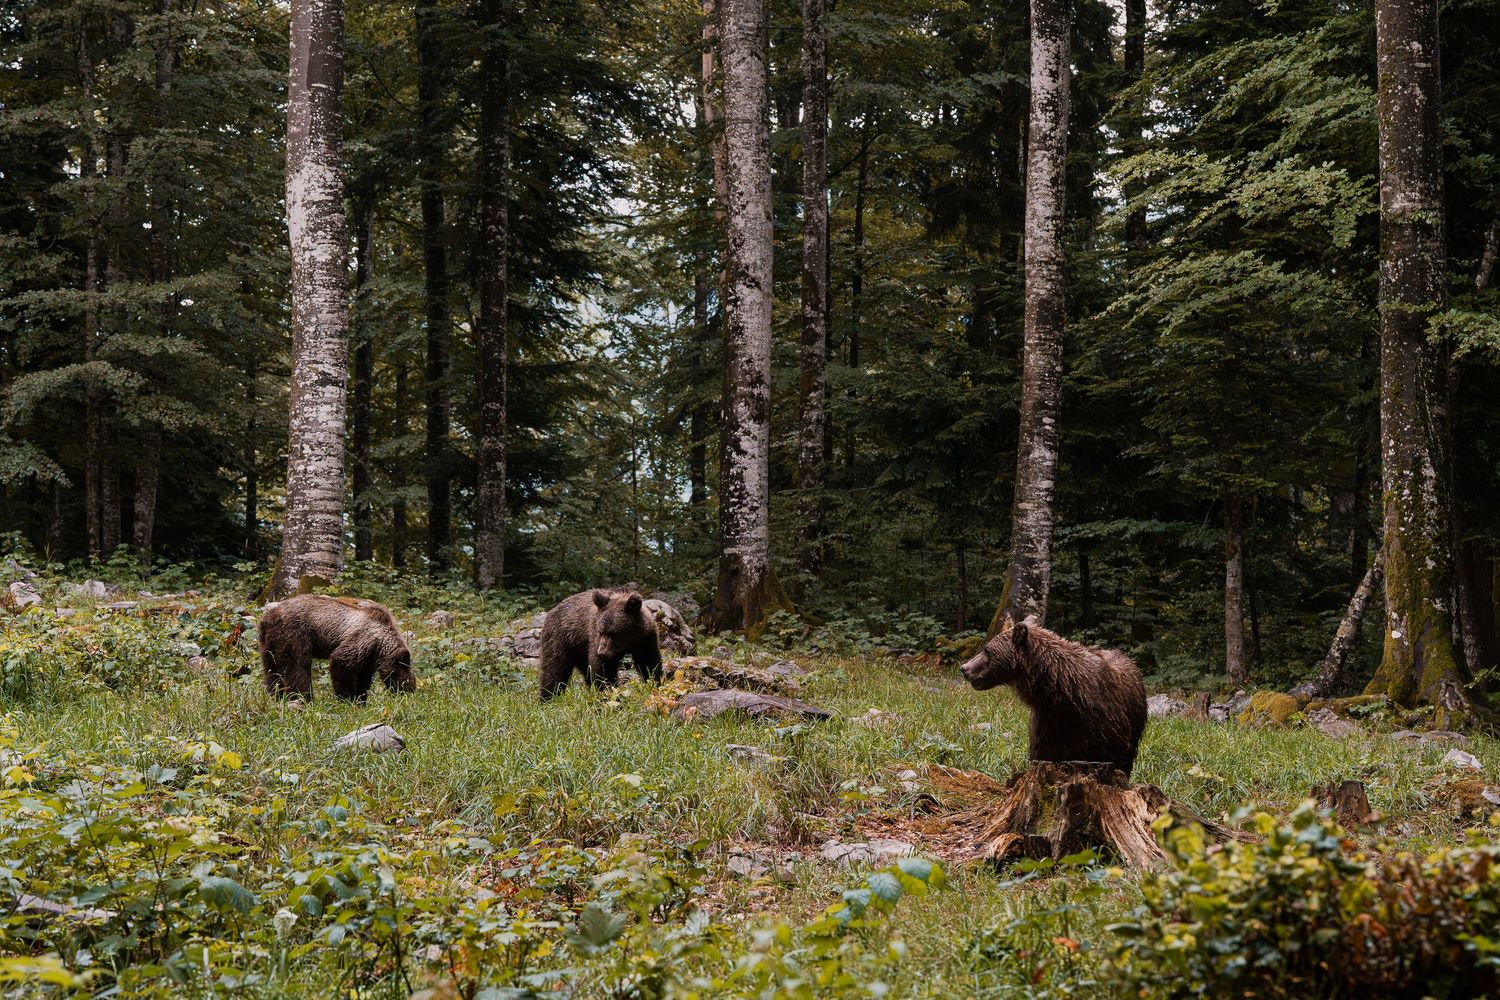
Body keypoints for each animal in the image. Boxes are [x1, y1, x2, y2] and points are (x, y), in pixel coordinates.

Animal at [258, 594, 417, 702]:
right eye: (406, 683)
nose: (409, 694)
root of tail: (267, 616)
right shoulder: (363, 637)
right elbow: (342, 662)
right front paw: (347, 698)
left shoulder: (369, 655)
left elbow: (363, 677)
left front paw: (361, 699)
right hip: (295, 633)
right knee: (297, 667)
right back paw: (304, 697)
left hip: (270, 642)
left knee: (273, 668)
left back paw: (275, 694)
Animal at [959, 615, 1147, 777]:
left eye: (987, 650)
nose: (964, 668)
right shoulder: (1048, 719)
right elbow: (1044, 754)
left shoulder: (1101, 721)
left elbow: (1114, 756)